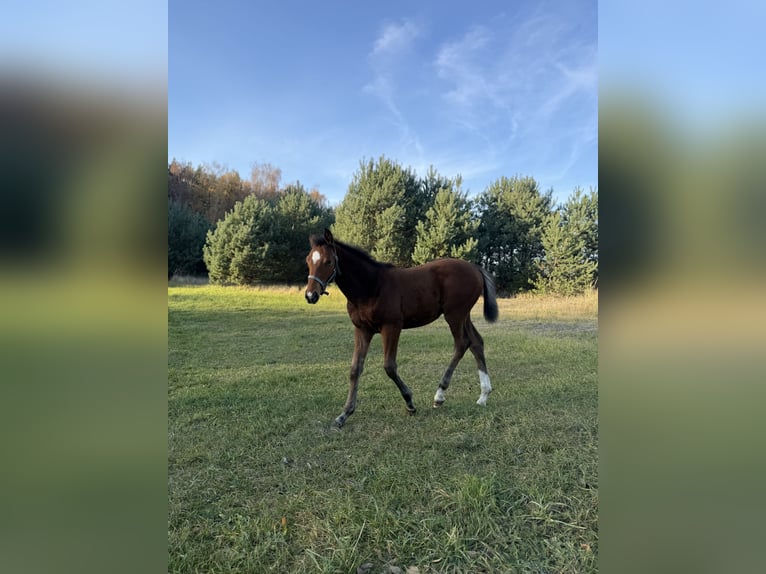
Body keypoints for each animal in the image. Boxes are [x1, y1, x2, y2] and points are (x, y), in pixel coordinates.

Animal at [305, 228, 498, 427]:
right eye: (308, 260)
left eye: (328, 261)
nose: (310, 295)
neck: (371, 286)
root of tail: (475, 268)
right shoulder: (362, 329)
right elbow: (355, 369)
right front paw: (344, 414)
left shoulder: (392, 327)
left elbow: (389, 366)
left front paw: (410, 403)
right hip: (464, 315)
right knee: (476, 342)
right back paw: (483, 395)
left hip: (454, 315)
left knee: (462, 343)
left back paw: (439, 395)